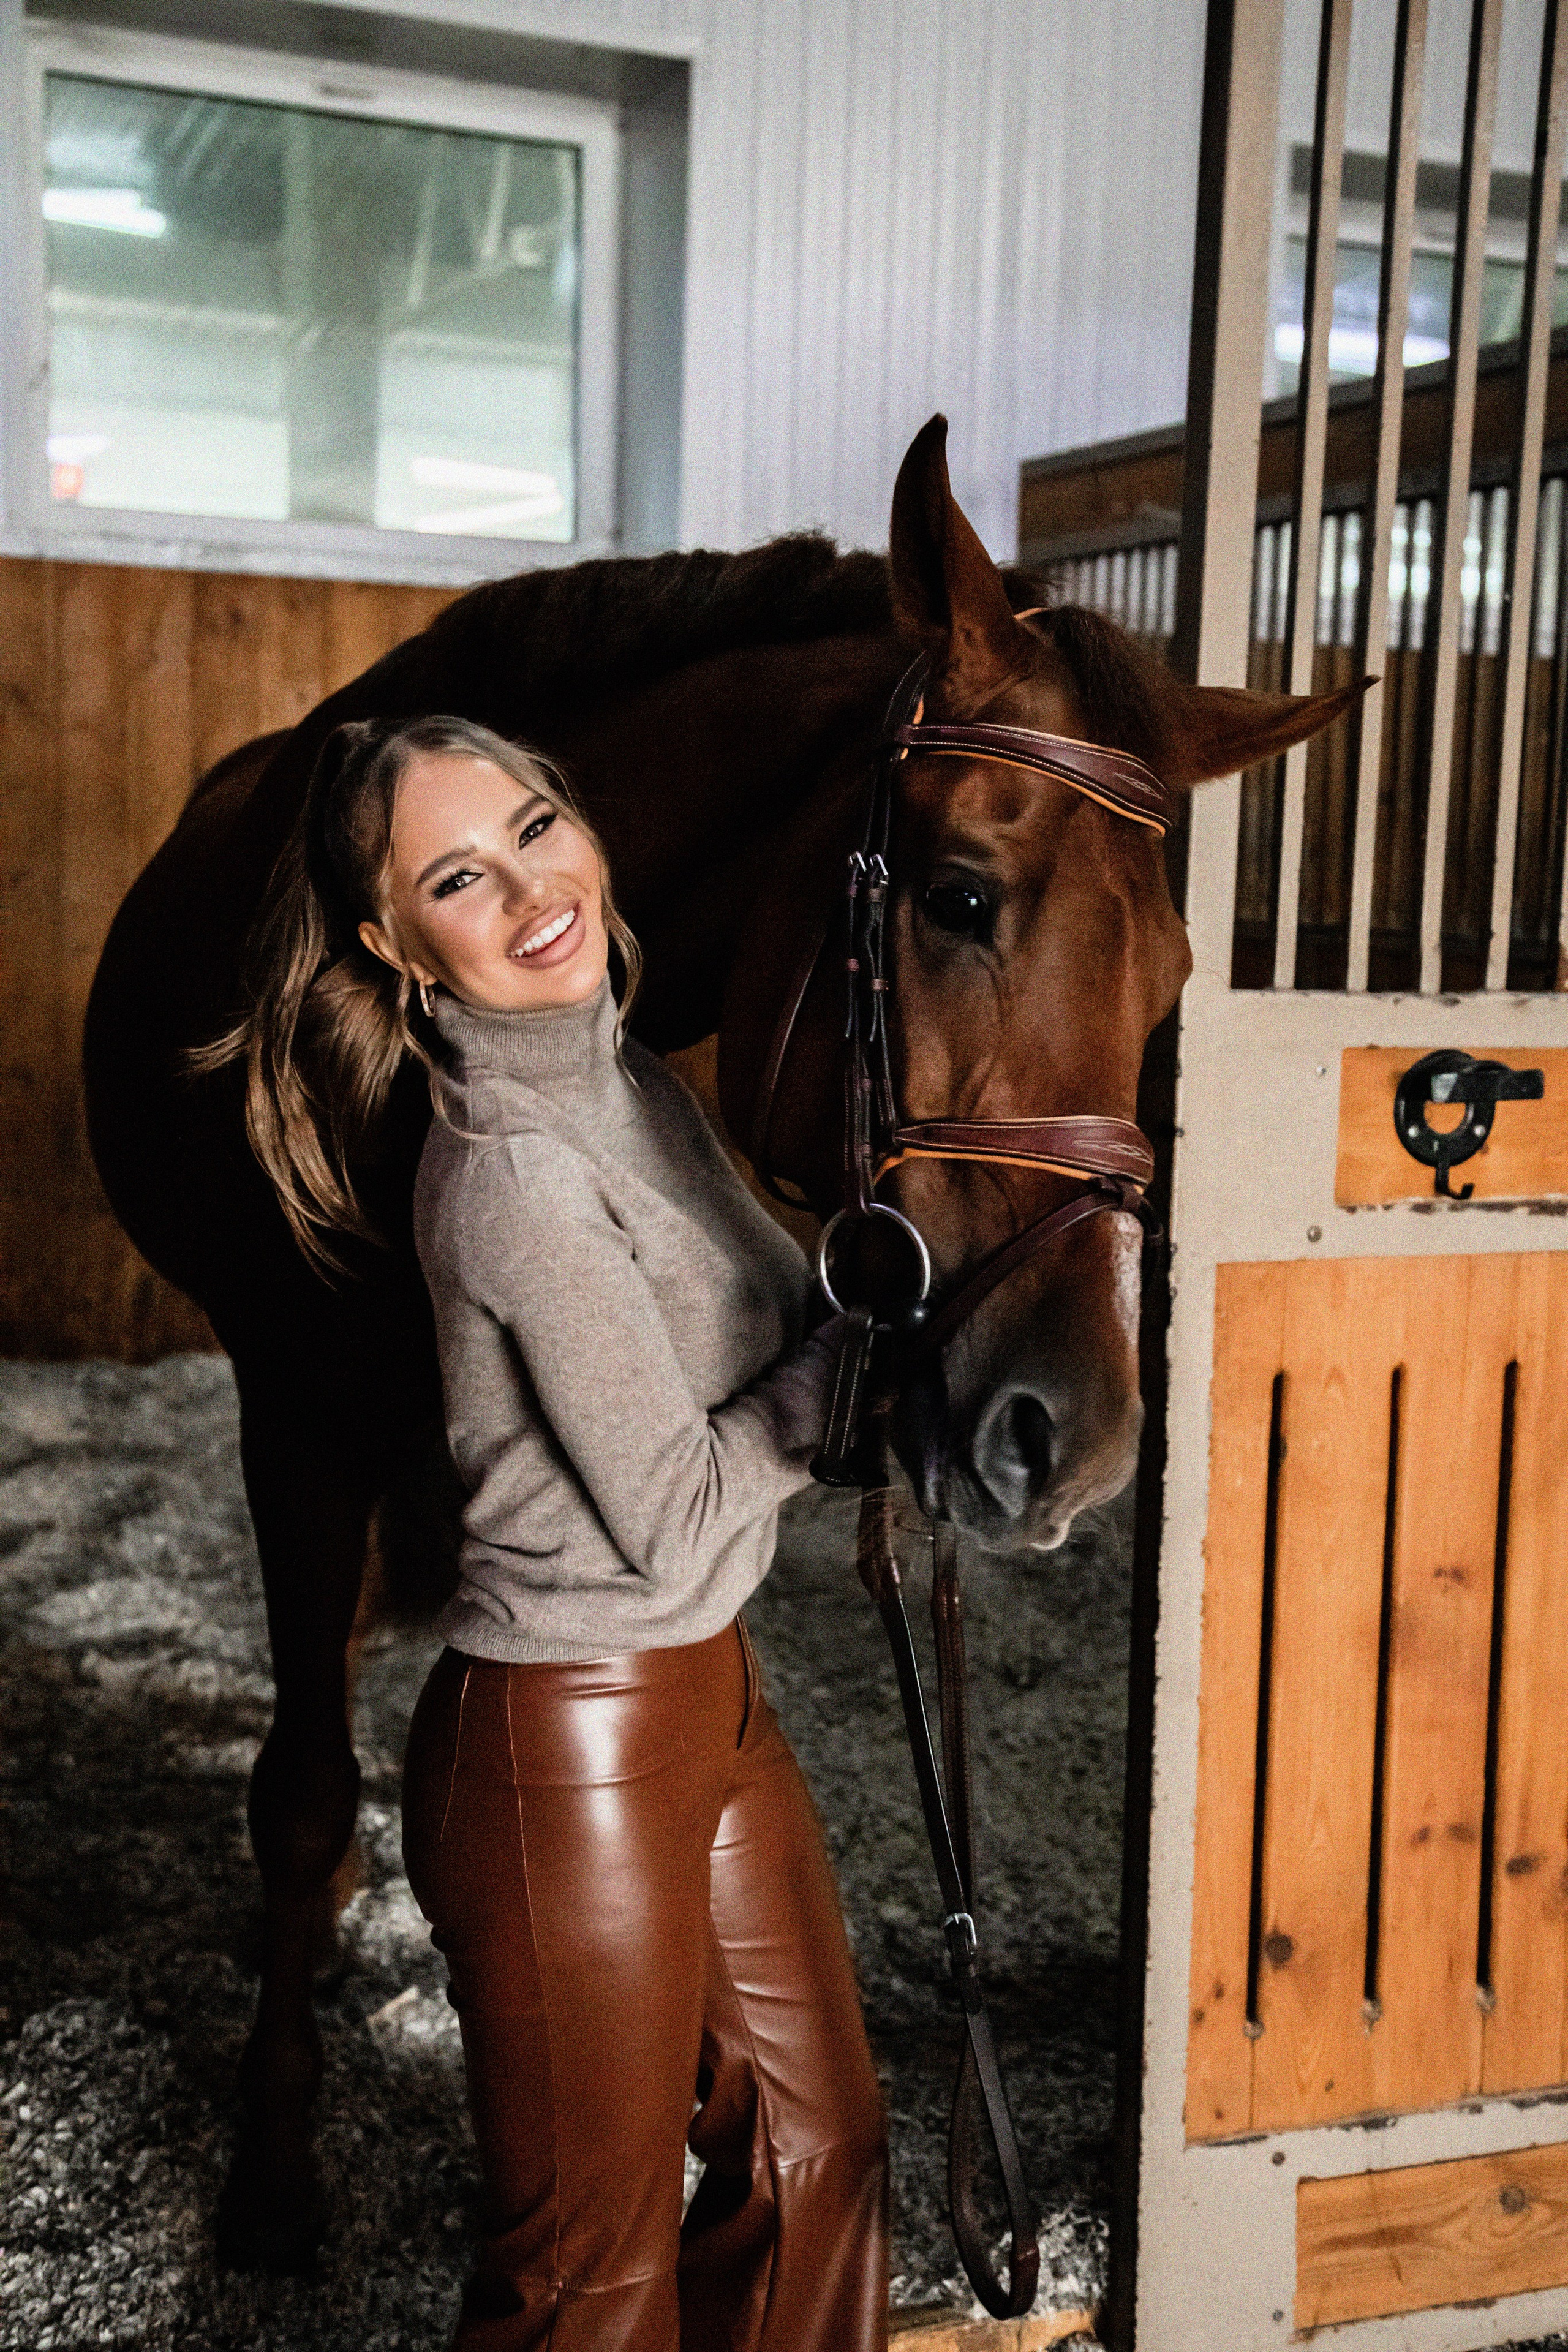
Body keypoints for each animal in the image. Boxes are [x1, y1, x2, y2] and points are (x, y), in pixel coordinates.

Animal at [83, 415, 1356, 2267]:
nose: (1072, 1432)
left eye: (1180, 970)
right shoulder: (292, 1419)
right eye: (959, 897)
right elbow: (306, 1789)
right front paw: (271, 2171)